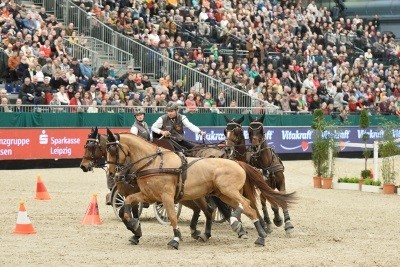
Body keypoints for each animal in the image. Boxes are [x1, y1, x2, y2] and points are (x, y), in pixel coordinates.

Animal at [79, 127, 217, 245]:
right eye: (85, 145)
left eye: (91, 146)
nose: (83, 166)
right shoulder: (135, 194)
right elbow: (125, 211)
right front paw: (135, 231)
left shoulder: (133, 192)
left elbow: (129, 212)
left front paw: (135, 229)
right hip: (188, 195)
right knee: (203, 210)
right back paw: (199, 232)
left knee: (205, 210)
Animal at [104, 129, 296, 250]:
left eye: (112, 148)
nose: (112, 172)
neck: (155, 163)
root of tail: (237, 162)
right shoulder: (148, 195)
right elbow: (127, 203)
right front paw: (134, 227)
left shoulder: (166, 197)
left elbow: (172, 216)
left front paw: (175, 239)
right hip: (222, 194)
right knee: (246, 208)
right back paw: (256, 234)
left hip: (228, 191)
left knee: (245, 205)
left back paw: (248, 228)